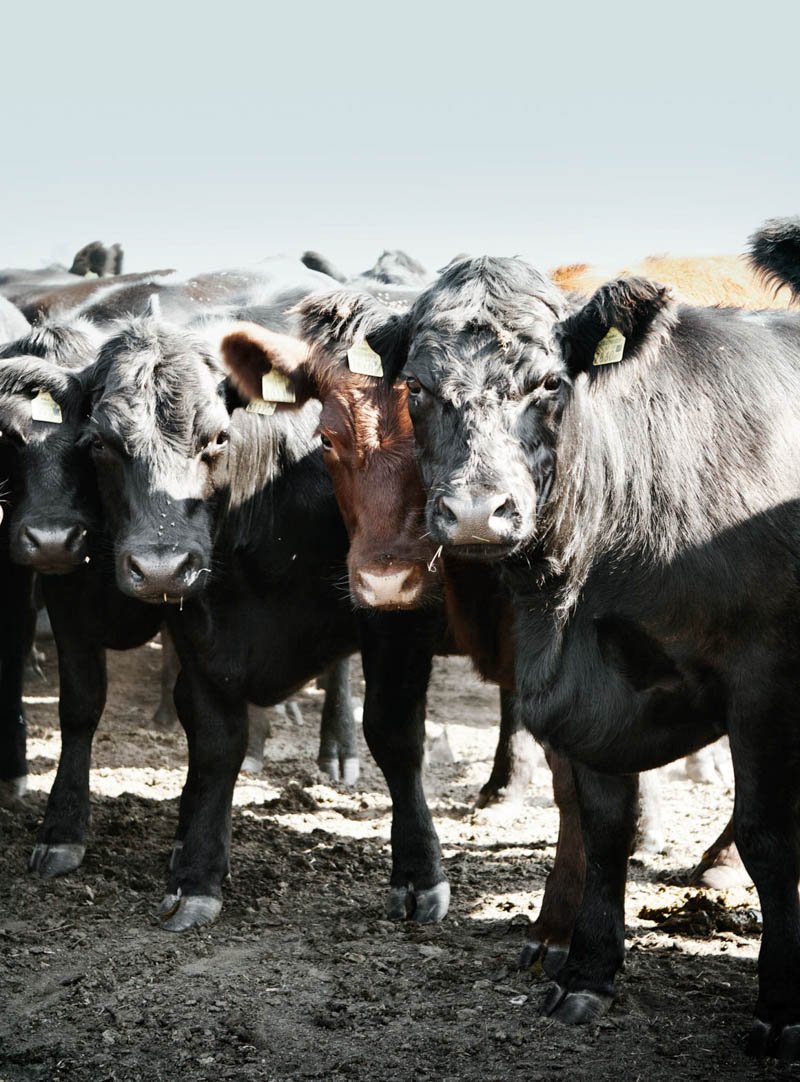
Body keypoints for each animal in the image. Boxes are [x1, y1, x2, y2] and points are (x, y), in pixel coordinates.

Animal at [272, 253, 800, 1061]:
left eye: (551, 383)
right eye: (417, 388)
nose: (475, 513)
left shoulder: (764, 676)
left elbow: (767, 834)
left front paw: (779, 1010)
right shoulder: (589, 687)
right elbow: (605, 823)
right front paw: (588, 974)